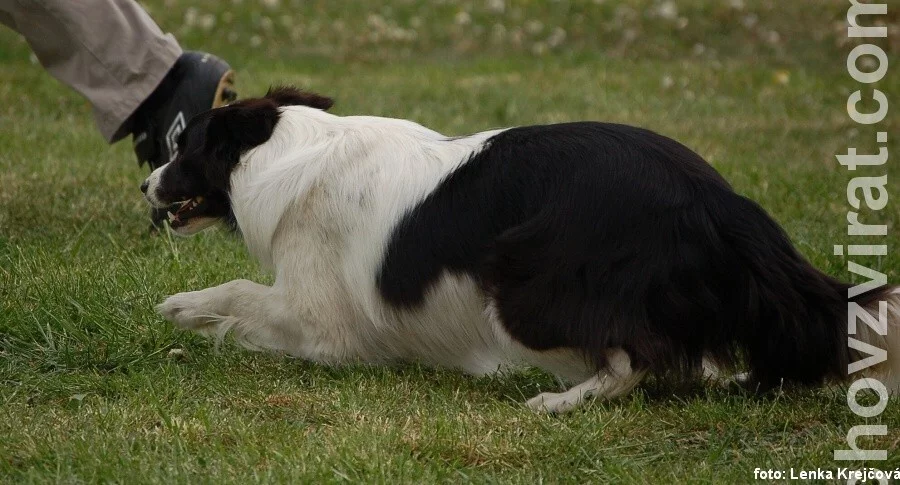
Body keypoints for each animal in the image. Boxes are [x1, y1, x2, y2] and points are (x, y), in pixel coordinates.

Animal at [141, 86, 900, 413]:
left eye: (183, 148)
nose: (145, 184)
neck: (281, 149)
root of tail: (716, 199)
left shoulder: (321, 320)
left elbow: (239, 296)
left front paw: (181, 309)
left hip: (519, 284)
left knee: (635, 358)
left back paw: (560, 401)